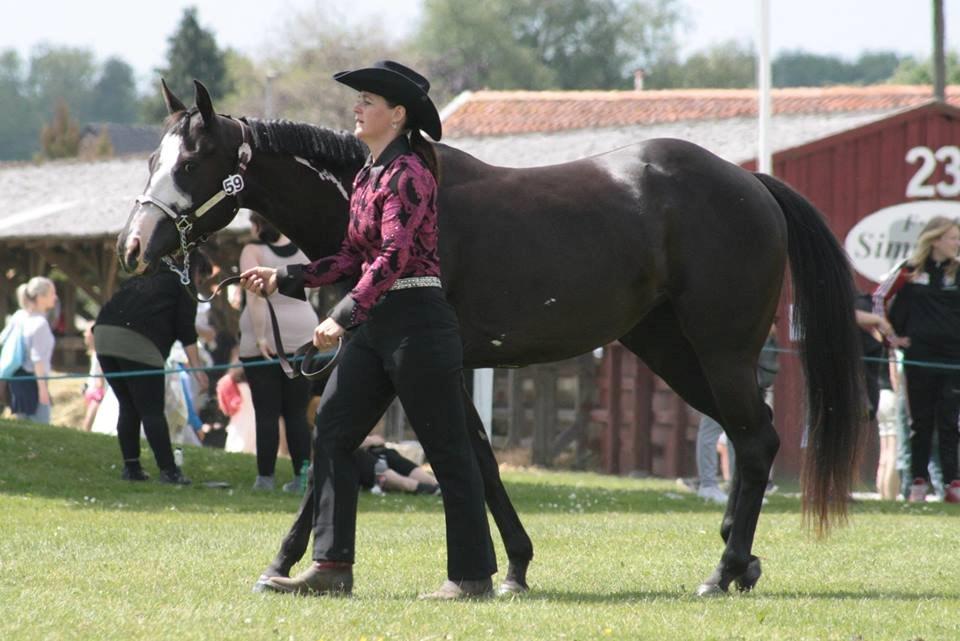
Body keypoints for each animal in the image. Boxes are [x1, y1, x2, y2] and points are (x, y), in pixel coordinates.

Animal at [118, 80, 864, 596]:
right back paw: (740, 560)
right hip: (671, 350)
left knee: (756, 439)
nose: (133, 246)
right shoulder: (430, 365)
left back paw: (723, 568)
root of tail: (753, 183)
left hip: (721, 350)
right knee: (750, 437)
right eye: (152, 156)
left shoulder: (425, 363)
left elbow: (414, 455)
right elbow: (470, 457)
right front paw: (516, 565)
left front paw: (286, 560)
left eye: (193, 162)